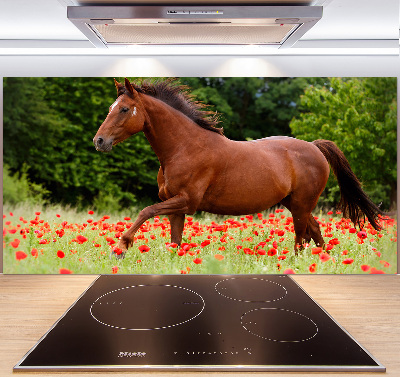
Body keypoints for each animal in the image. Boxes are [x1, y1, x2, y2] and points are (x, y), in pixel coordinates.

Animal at [93, 78, 382, 258]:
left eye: (124, 109)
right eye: (111, 108)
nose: (99, 141)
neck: (184, 147)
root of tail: (314, 147)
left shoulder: (187, 201)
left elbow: (146, 211)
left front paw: (120, 247)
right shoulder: (176, 207)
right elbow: (175, 241)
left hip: (301, 205)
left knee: (302, 238)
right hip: (296, 204)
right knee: (315, 233)